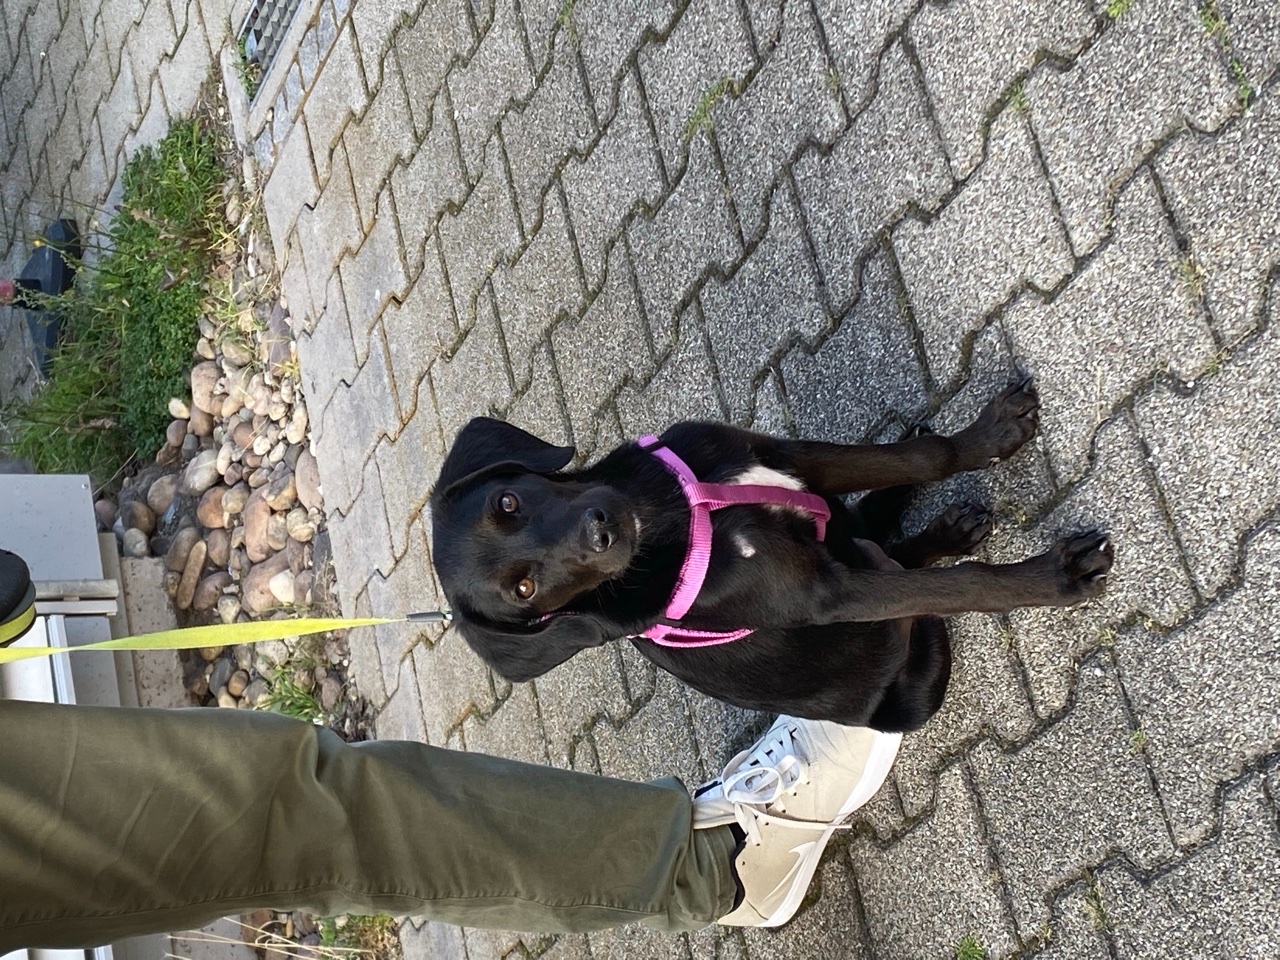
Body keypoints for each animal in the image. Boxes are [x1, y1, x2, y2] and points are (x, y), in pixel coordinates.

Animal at [428, 380, 1113, 731]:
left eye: (509, 502)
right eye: (524, 590)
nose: (601, 533)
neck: (676, 516)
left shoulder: (781, 455)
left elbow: (922, 456)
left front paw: (989, 435)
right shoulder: (828, 593)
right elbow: (966, 586)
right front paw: (1054, 578)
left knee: (878, 525)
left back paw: (947, 523)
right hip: (909, 668)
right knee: (896, 569)